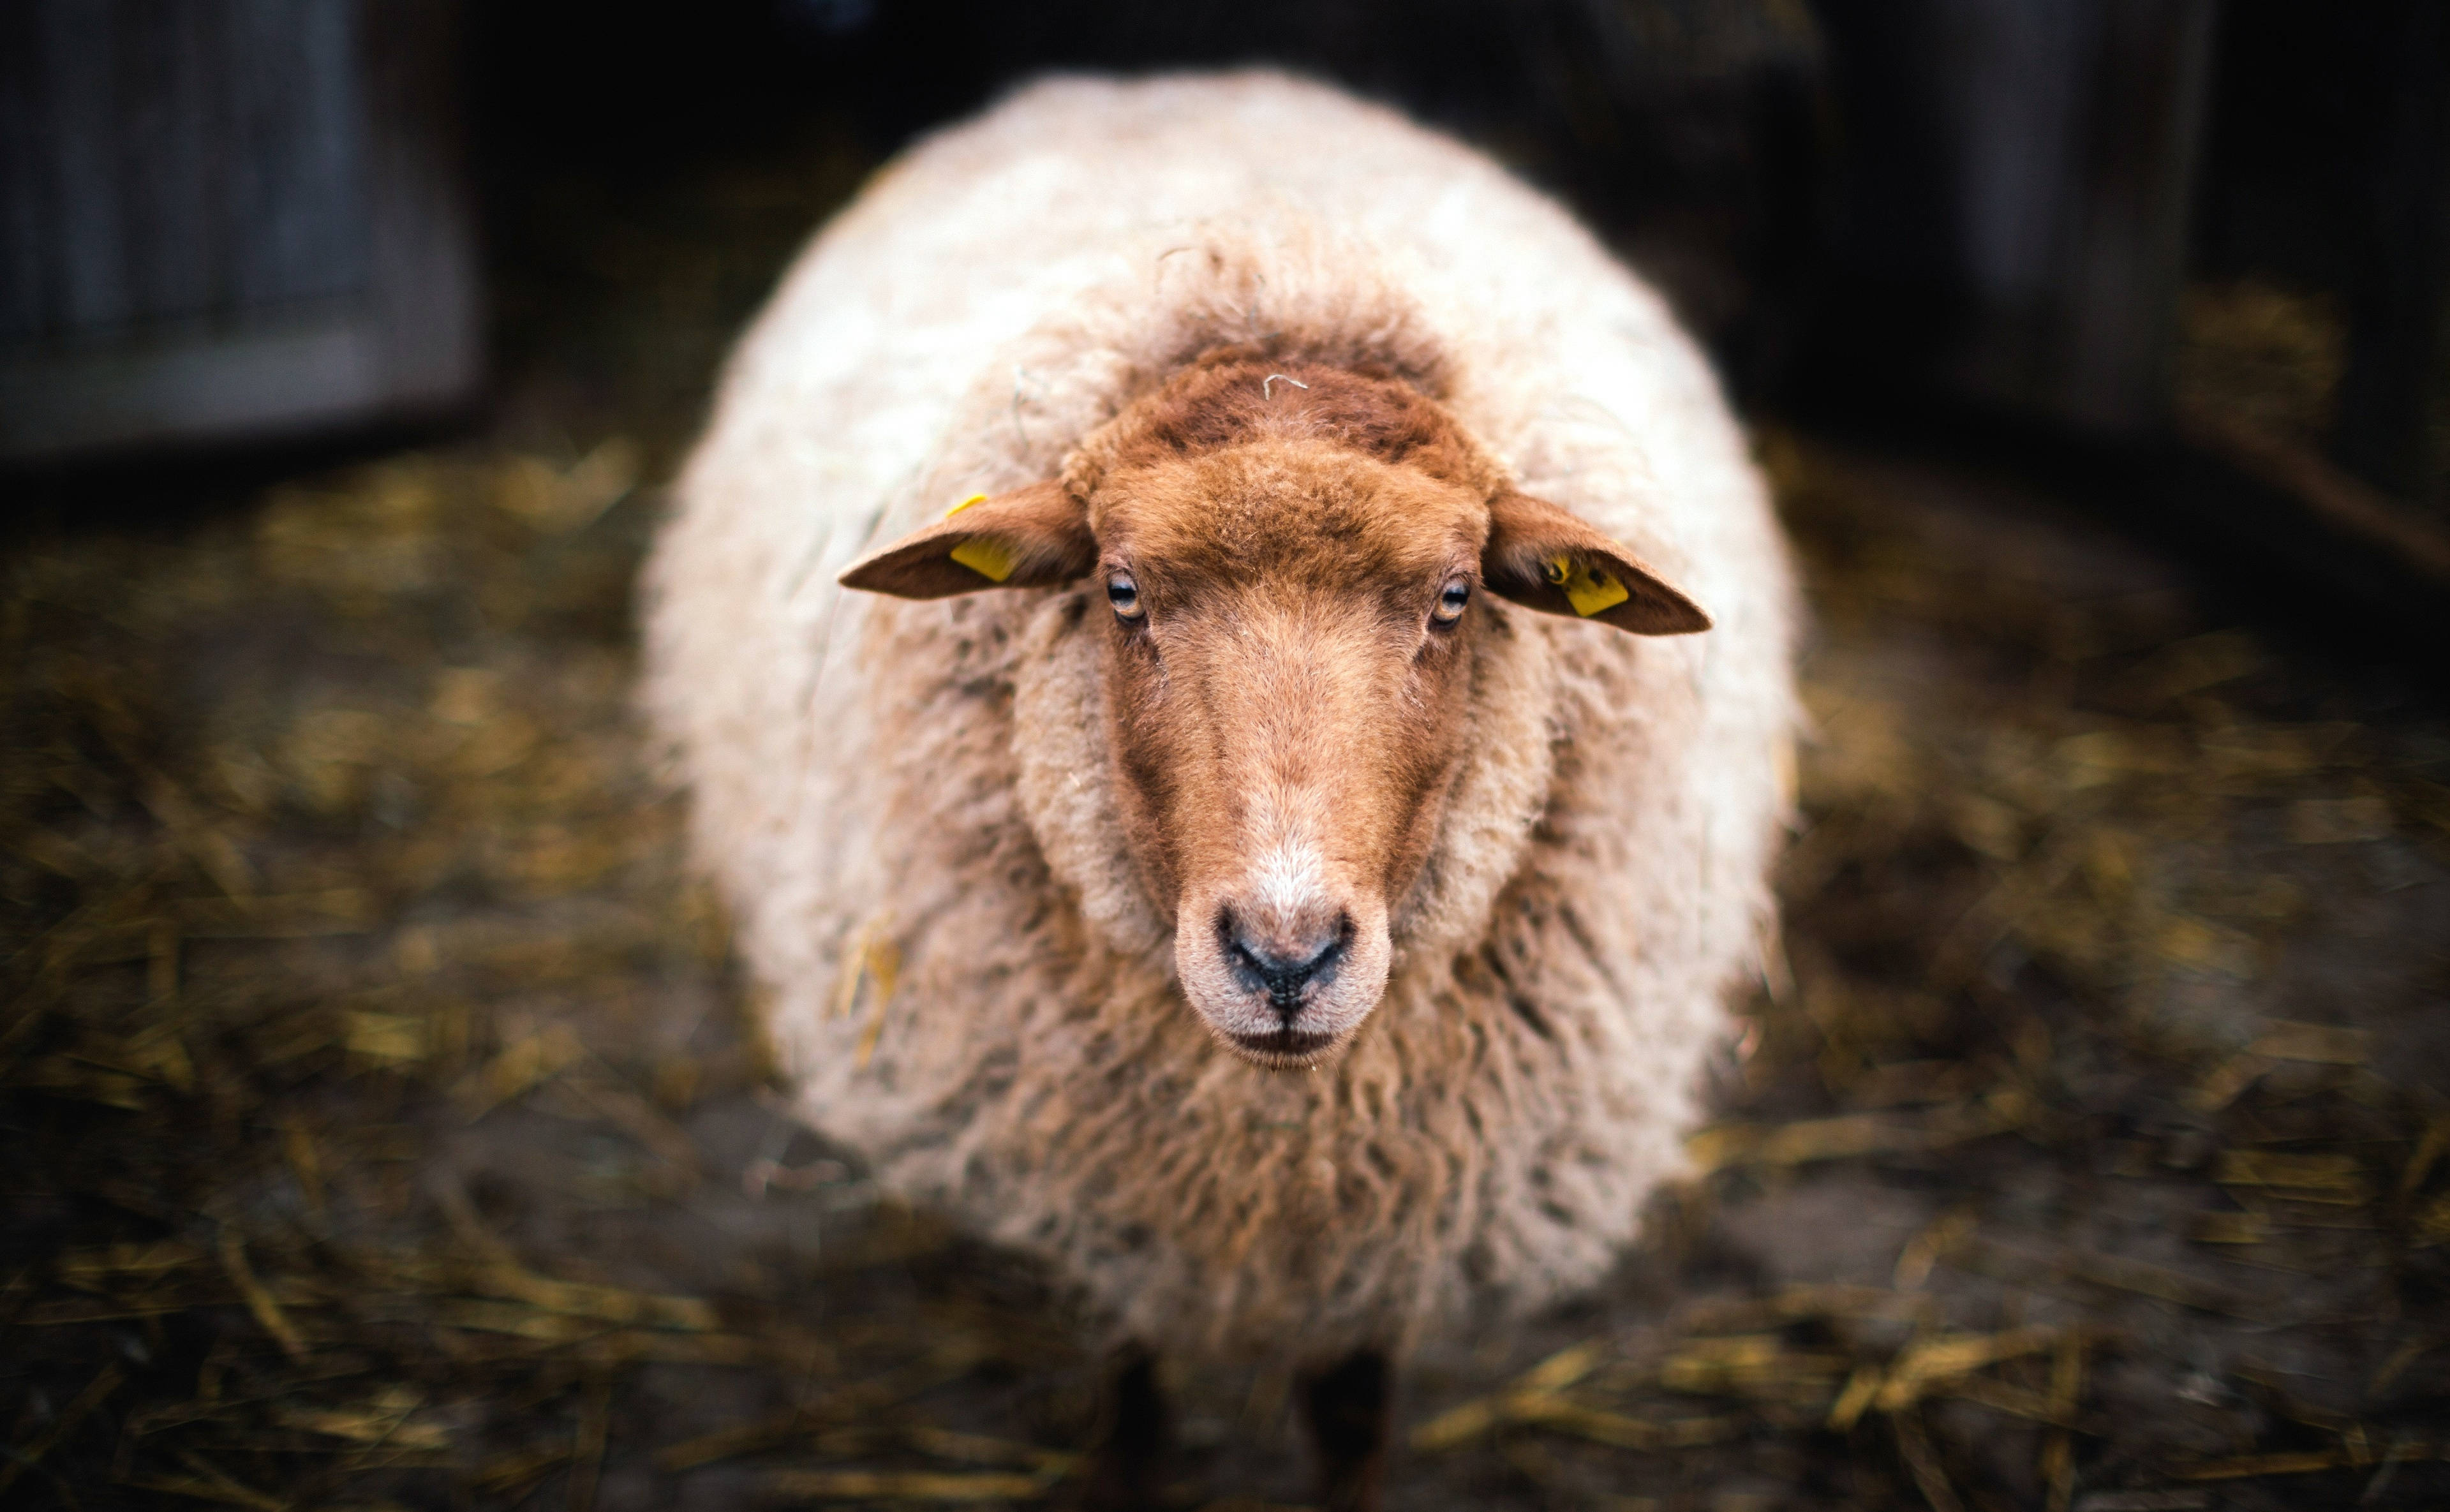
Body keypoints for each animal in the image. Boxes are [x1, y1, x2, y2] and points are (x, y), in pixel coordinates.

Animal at [641, 70, 1797, 1510]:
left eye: (1455, 597)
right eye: (1122, 589)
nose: (1284, 958)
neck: (1272, 1144)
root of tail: (1163, 84)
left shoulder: (1388, 1226)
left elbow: (1351, 1413)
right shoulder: (1117, 1205)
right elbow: (1133, 1388)